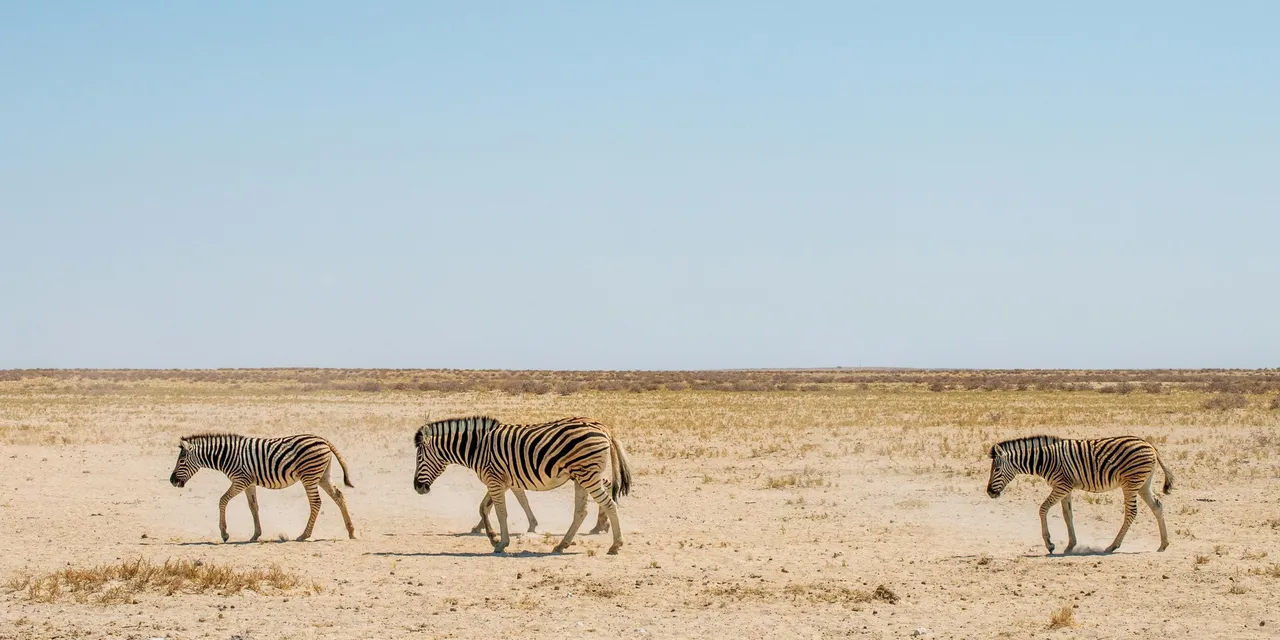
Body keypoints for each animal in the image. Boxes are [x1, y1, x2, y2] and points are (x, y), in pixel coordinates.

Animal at [169, 433, 358, 543]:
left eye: (181, 461)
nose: (172, 481)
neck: (226, 456)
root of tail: (323, 439)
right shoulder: (249, 483)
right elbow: (253, 507)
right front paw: (255, 535)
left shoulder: (240, 480)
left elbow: (222, 500)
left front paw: (224, 533)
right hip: (323, 475)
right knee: (339, 496)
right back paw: (351, 531)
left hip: (309, 475)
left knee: (316, 502)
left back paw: (304, 535)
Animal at [414, 415, 632, 555]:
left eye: (419, 458)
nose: (417, 487)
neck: (477, 448)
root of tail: (604, 428)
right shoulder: (503, 481)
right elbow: (486, 507)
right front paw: (492, 536)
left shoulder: (495, 480)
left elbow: (501, 512)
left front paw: (501, 543)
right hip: (581, 476)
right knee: (581, 511)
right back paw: (563, 544)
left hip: (587, 475)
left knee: (609, 503)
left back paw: (615, 544)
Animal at [986, 434, 1173, 554]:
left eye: (996, 469)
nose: (989, 492)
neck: (1044, 460)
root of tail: (1150, 445)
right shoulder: (1066, 488)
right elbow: (1067, 515)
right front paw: (1070, 545)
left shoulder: (1061, 486)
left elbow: (1043, 509)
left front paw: (1050, 544)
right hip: (1143, 484)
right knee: (1157, 506)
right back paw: (1163, 544)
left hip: (1131, 482)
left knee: (1132, 512)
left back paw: (1113, 546)